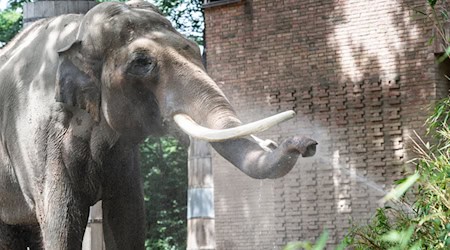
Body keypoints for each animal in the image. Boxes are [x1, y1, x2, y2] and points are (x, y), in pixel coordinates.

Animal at [0, 0, 316, 249]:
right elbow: (63, 222)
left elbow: (129, 217)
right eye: (142, 63)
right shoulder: (42, 142)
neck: (76, 33)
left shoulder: (123, 155)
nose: (307, 144)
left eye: (195, 48)